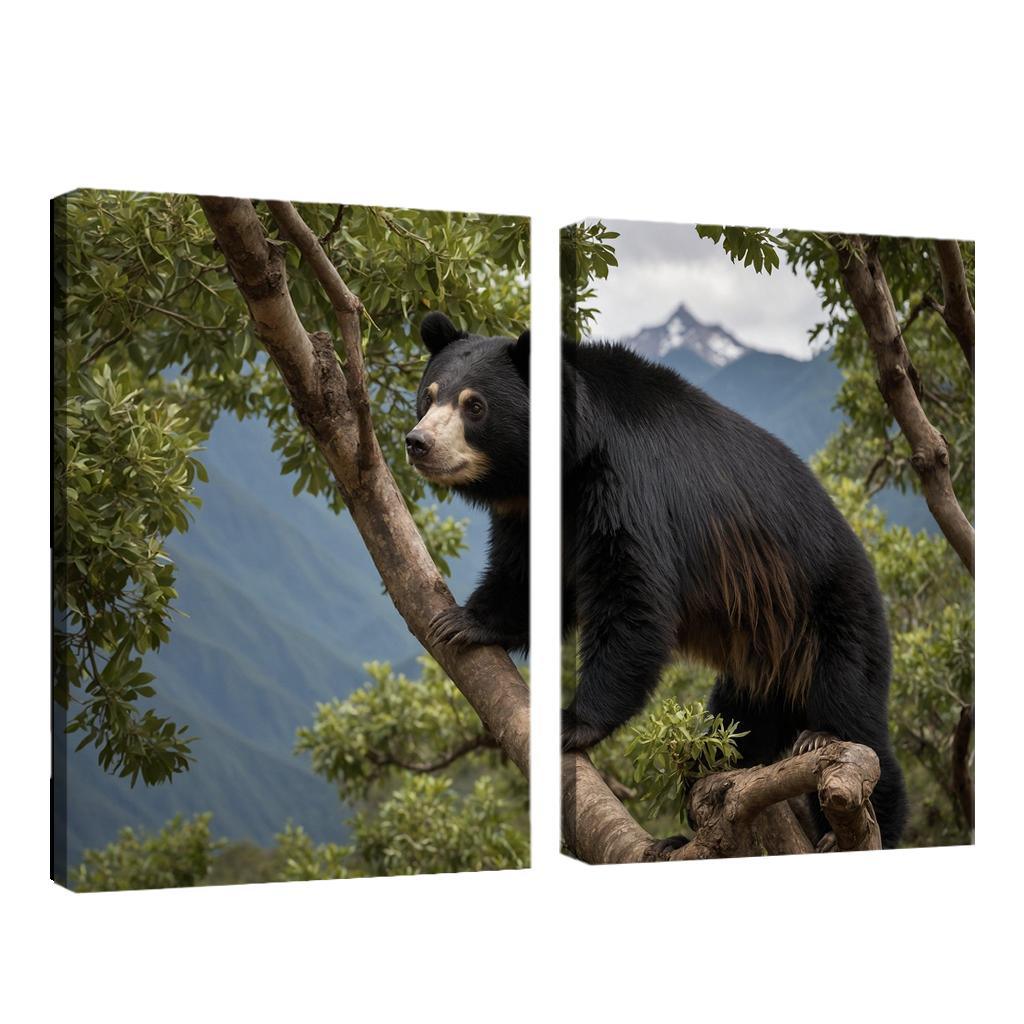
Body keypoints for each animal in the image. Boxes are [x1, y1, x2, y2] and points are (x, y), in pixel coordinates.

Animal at [406, 311, 530, 654]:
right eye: (429, 397)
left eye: (475, 406)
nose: (418, 443)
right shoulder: (519, 510)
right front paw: (463, 621)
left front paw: (460, 623)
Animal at [561, 339, 908, 849]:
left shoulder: (630, 489)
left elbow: (633, 600)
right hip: (764, 662)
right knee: (739, 720)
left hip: (835, 617)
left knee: (855, 713)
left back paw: (831, 765)